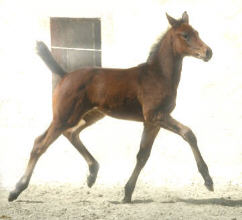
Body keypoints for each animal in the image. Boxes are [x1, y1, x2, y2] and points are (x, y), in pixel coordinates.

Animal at [9, 11, 214, 203]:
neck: (158, 75)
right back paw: (16, 189)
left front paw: (127, 193)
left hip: (90, 115)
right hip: (64, 116)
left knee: (71, 133)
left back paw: (92, 174)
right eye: (185, 35)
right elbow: (188, 133)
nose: (208, 52)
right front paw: (208, 180)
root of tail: (65, 75)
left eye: (197, 32)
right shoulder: (156, 115)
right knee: (40, 144)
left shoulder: (152, 122)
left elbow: (143, 155)